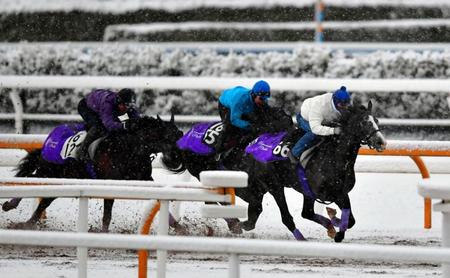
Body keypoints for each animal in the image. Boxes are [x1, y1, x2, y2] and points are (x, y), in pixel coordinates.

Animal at [3, 114, 183, 231]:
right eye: (170, 137)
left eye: (180, 134)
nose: (178, 158)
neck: (130, 149)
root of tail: (47, 142)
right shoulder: (111, 184)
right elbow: (107, 214)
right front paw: (103, 232)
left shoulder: (145, 181)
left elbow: (159, 200)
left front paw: (180, 228)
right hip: (49, 172)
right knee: (30, 179)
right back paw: (11, 205)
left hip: (64, 178)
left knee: (44, 201)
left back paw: (28, 222)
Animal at [163, 100, 386, 241]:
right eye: (364, 122)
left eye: (377, 121)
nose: (381, 142)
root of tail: (185, 137)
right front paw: (336, 228)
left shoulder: (335, 192)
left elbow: (350, 219)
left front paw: (335, 224)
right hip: (264, 184)